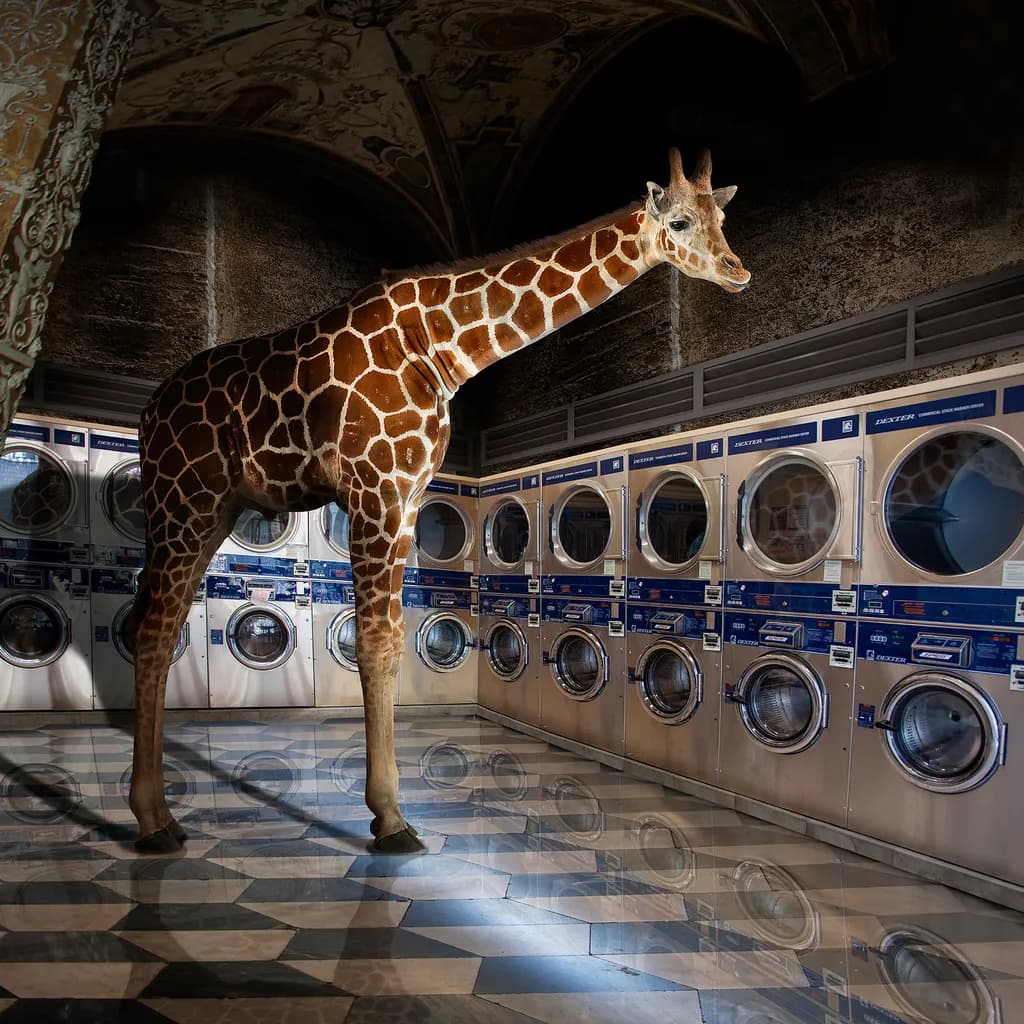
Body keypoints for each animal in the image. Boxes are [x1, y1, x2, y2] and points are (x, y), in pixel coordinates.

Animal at [127, 147, 750, 853]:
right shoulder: (376, 486)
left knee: (161, 618)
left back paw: (159, 813)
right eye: (678, 221)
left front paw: (390, 811)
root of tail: (148, 417)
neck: (441, 346)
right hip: (184, 496)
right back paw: (153, 820)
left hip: (213, 509)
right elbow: (374, 642)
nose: (738, 270)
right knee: (153, 626)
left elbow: (397, 639)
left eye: (722, 217)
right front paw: (391, 819)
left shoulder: (406, 498)